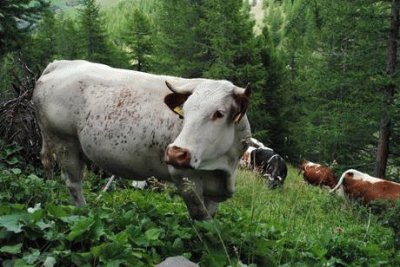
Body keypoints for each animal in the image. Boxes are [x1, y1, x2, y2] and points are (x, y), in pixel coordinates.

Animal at [35, 59, 253, 221]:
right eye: (186, 111)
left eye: (219, 113)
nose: (176, 153)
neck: (224, 165)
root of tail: (61, 64)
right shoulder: (183, 178)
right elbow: (202, 217)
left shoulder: (216, 186)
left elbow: (211, 215)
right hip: (64, 142)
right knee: (73, 182)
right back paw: (84, 213)